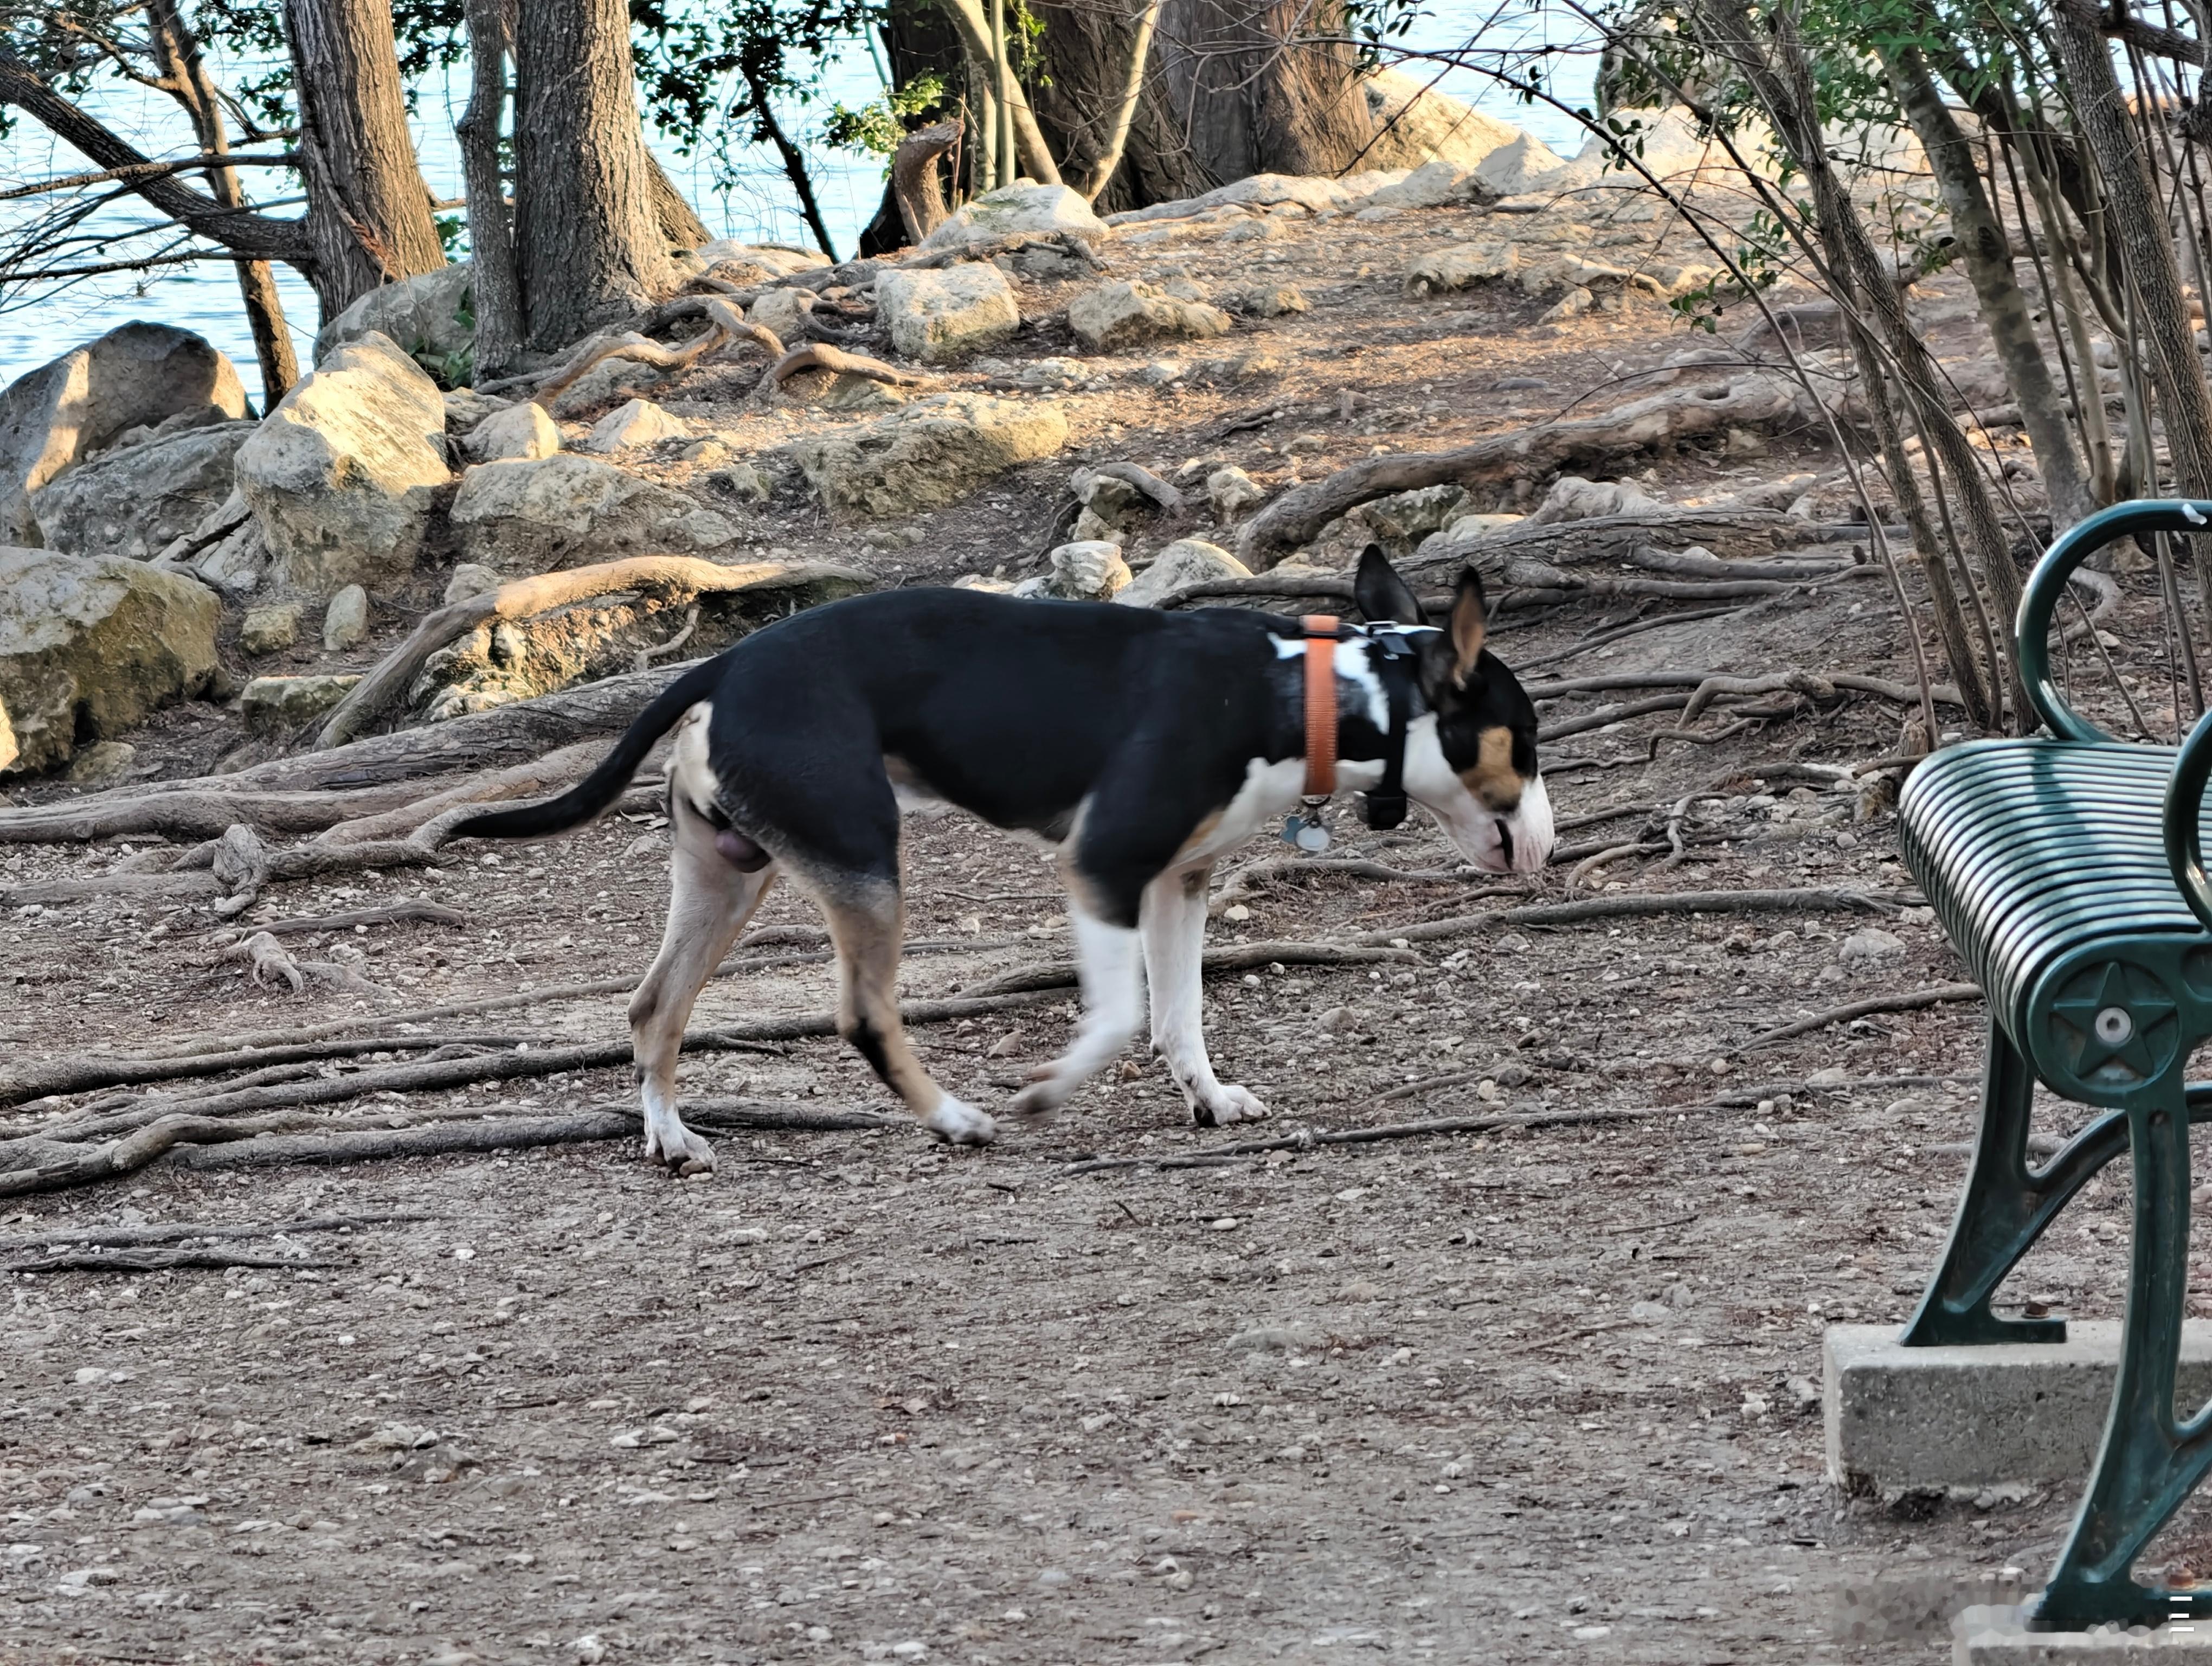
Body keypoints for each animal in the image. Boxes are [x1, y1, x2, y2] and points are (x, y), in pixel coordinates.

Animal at [449, 546, 1557, 1168]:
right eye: (1530, 739)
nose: (1551, 842)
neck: (1318, 691)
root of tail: (722, 663)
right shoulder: (1102, 869)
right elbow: (1118, 1020)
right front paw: (1048, 1094)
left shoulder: (1179, 882)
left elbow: (1179, 1016)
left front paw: (1208, 1100)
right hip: (865, 865)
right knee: (864, 1017)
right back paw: (957, 1120)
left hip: (729, 876)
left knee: (653, 1008)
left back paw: (671, 1139)